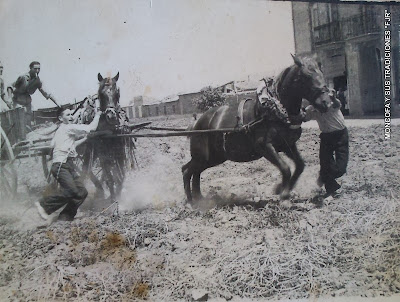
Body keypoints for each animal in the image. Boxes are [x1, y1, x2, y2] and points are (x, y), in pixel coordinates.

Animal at [182, 56, 332, 203]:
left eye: (321, 72)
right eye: (306, 76)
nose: (326, 102)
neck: (274, 110)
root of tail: (197, 123)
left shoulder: (287, 145)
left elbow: (300, 166)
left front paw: (282, 189)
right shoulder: (264, 146)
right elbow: (285, 168)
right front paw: (282, 193)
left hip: (213, 158)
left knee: (195, 172)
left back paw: (199, 199)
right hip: (203, 156)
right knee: (187, 171)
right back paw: (190, 201)